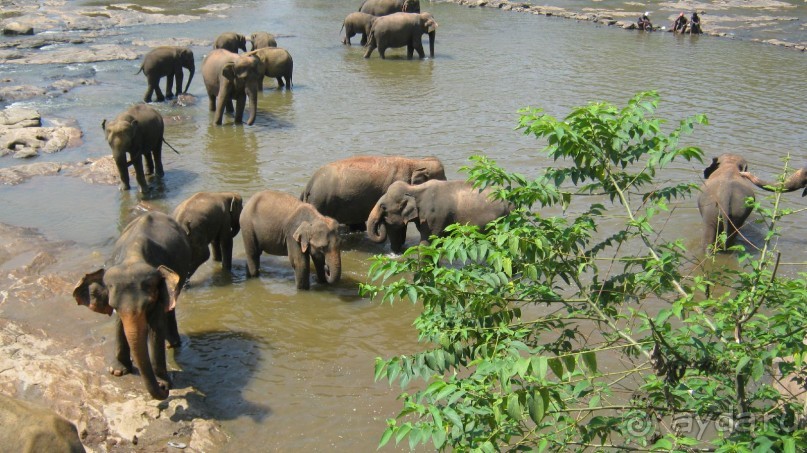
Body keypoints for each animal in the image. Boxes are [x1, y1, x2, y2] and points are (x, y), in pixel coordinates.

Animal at [73, 210, 193, 398]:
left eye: (148, 305)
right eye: (113, 306)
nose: (164, 389)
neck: (133, 258)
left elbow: (156, 328)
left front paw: (165, 382)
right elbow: (119, 323)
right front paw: (117, 372)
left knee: (170, 306)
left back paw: (172, 343)